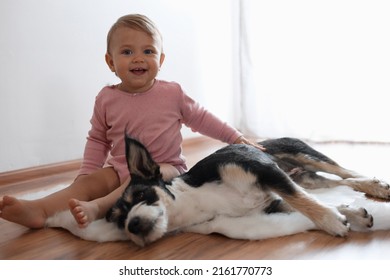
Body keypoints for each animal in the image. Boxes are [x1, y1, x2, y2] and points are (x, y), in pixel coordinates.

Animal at [47, 137, 390, 246]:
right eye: (119, 222)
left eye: (141, 196)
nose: (132, 225)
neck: (198, 201)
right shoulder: (272, 201)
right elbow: (308, 204)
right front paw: (349, 214)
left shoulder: (264, 171)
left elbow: (305, 203)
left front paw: (332, 222)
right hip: (307, 177)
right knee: (336, 185)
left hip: (301, 154)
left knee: (345, 172)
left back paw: (376, 185)